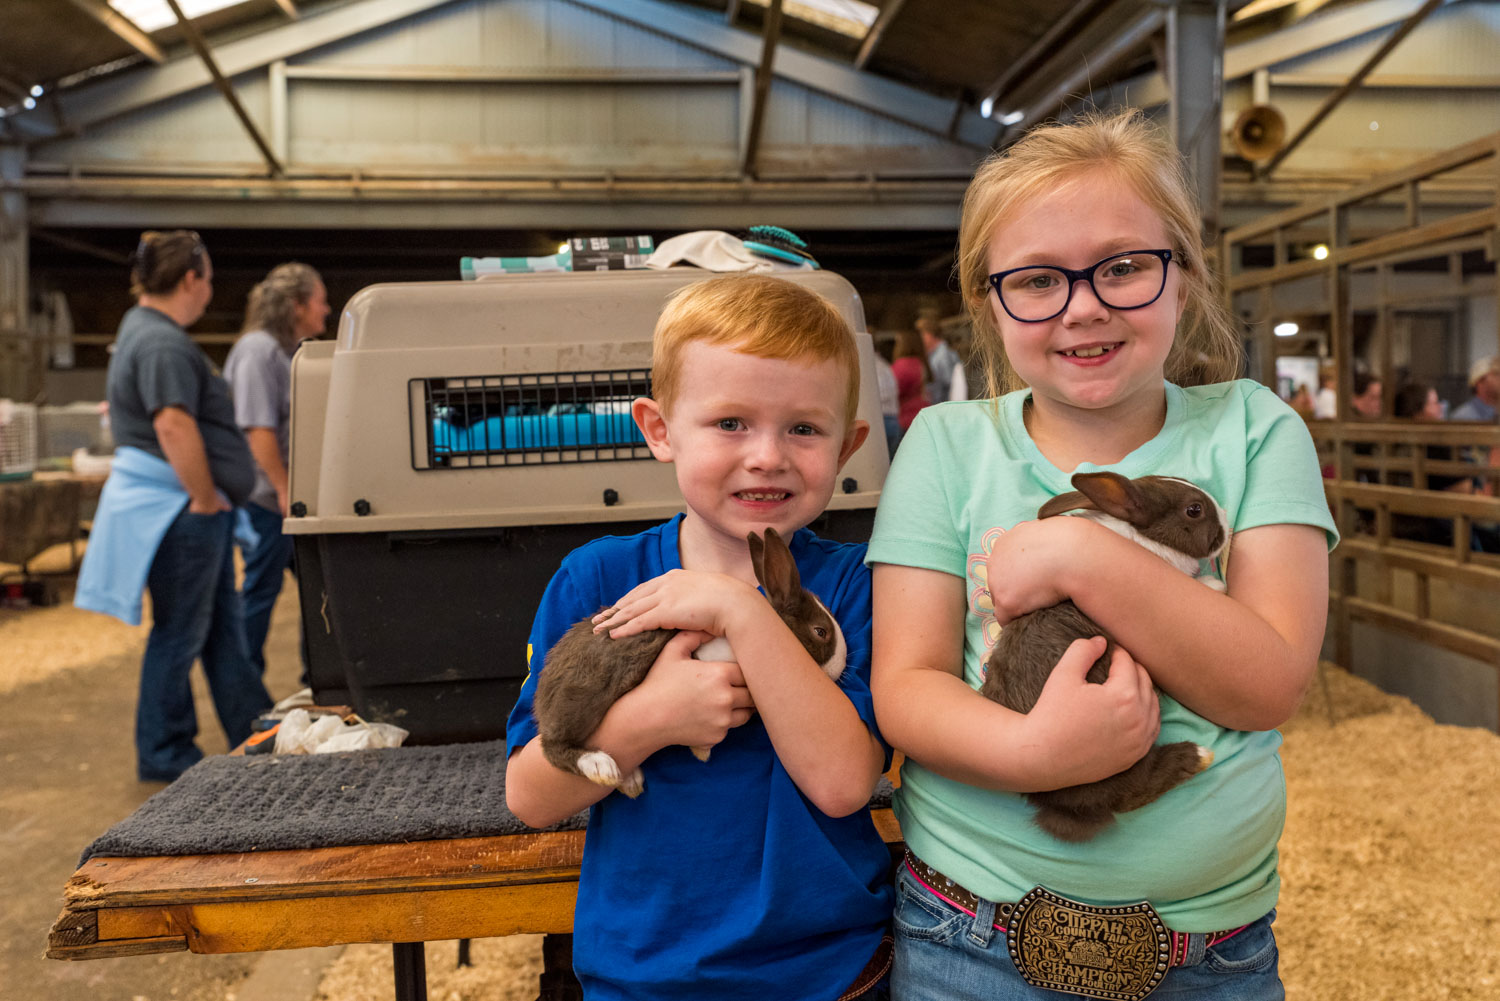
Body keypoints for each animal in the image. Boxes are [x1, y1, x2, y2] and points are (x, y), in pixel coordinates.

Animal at [537, 525, 846, 798]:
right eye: (820, 632)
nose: (840, 666)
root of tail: (542, 701)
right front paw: (702, 751)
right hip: (583, 698)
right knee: (551, 746)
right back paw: (600, 765)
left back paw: (629, 779)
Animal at [984, 474, 1230, 840]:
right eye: (1194, 510)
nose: (1226, 520)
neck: (1143, 539)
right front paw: (1216, 585)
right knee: (1132, 791)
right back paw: (1195, 756)